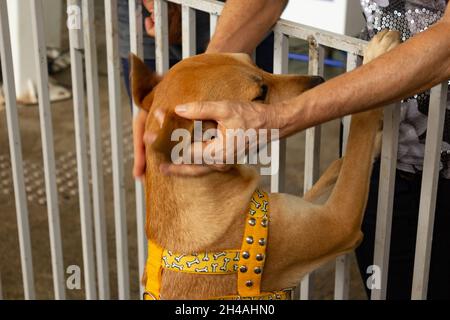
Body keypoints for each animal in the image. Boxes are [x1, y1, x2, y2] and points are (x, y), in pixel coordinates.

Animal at [130, 28, 400, 298]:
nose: (320, 80)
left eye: (255, 63)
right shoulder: (340, 222)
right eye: (260, 95)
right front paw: (379, 57)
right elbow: (359, 136)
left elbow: (336, 167)